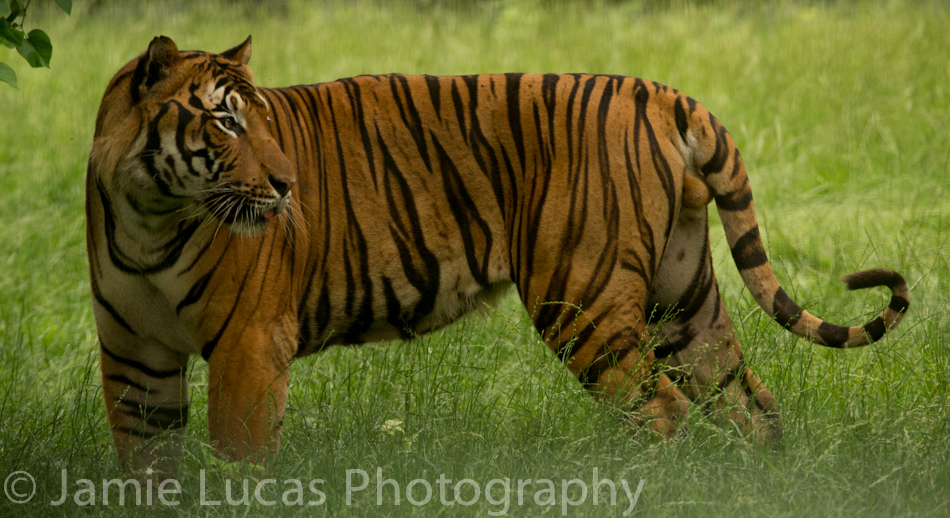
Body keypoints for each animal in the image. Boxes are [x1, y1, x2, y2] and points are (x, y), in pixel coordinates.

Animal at [85, 35, 910, 473]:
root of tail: (659, 91)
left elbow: (240, 460)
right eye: (226, 123)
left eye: (258, 121)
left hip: (582, 299)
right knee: (750, 404)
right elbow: (144, 468)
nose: (288, 186)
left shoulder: (250, 346)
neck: (150, 215)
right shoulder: (134, 357)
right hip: (683, 299)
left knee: (663, 410)